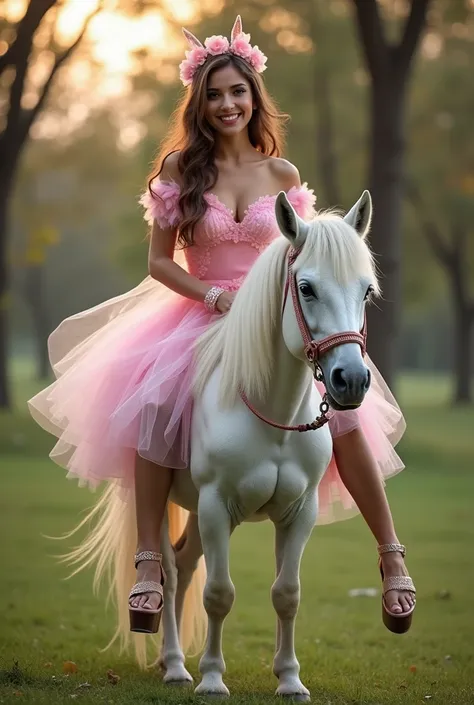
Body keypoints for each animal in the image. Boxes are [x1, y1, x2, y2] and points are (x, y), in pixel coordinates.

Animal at [69, 191, 378, 700]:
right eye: (307, 288)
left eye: (367, 290)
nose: (350, 380)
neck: (272, 415)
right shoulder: (217, 505)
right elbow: (219, 594)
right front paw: (212, 678)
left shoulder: (299, 512)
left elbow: (286, 593)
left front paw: (290, 679)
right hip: (165, 500)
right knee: (169, 571)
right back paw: (176, 666)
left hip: (199, 512)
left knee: (184, 563)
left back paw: (171, 662)